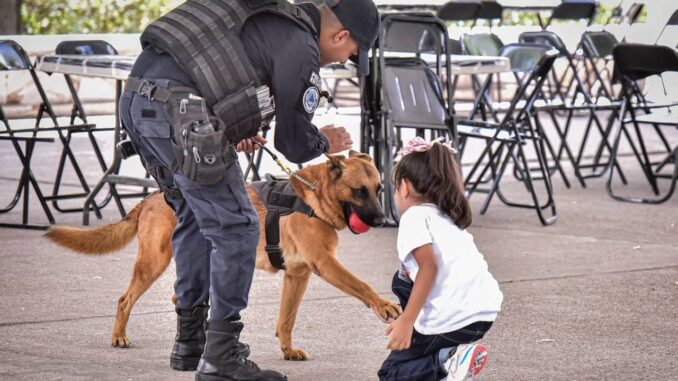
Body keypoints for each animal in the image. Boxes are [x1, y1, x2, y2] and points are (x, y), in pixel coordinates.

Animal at [47, 151, 404, 360]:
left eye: (378, 190)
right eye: (359, 191)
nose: (380, 221)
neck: (314, 197)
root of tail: (151, 197)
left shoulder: (297, 275)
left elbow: (286, 319)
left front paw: (287, 350)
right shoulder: (326, 265)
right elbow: (361, 285)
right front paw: (384, 305)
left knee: (180, 299)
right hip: (154, 262)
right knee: (125, 299)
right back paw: (119, 336)